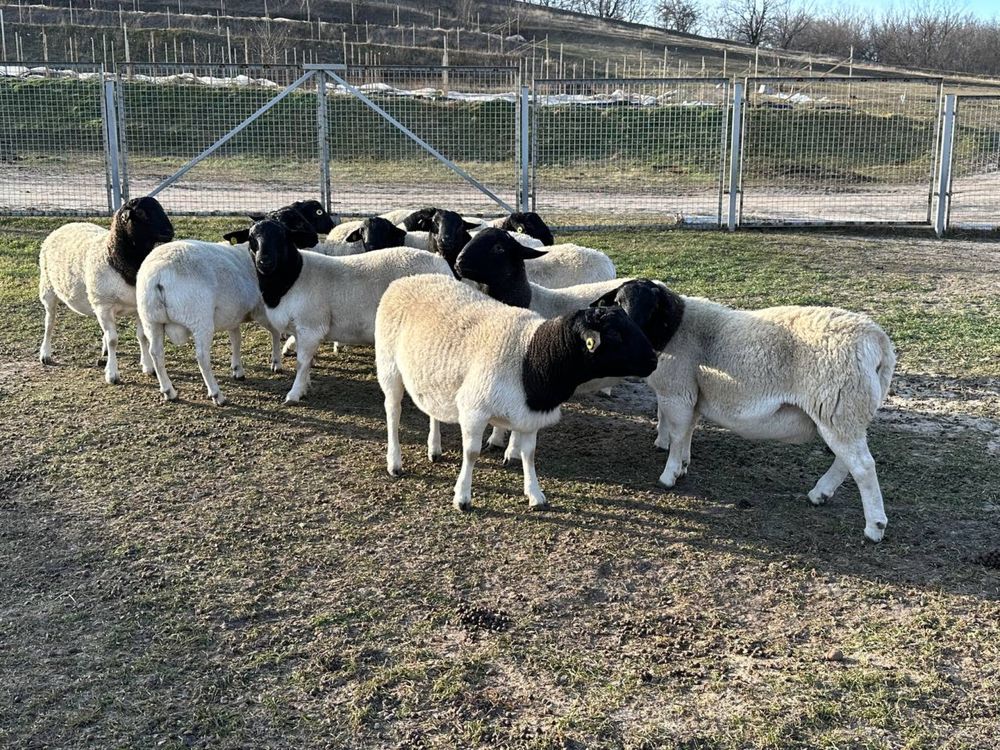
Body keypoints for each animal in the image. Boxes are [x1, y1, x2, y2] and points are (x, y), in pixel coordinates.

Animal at [38, 197, 176, 384]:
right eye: (140, 212)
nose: (170, 232)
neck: (115, 257)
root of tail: (66, 225)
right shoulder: (104, 306)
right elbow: (113, 340)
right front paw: (112, 374)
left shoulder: (136, 306)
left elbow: (141, 336)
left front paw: (148, 366)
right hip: (48, 288)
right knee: (49, 321)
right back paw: (45, 353)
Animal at [136, 204, 316, 406]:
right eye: (252, 238)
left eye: (282, 236)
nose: (264, 262)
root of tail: (158, 277)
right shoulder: (263, 309)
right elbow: (275, 333)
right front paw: (277, 363)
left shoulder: (233, 313)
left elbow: (236, 338)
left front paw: (238, 369)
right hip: (200, 319)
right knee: (202, 357)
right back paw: (216, 394)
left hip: (151, 319)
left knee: (156, 353)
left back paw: (169, 391)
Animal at [248, 219, 452, 406]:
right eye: (252, 239)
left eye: (282, 237)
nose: (264, 262)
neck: (293, 277)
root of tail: (441, 264)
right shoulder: (299, 328)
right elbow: (304, 362)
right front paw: (304, 386)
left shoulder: (311, 327)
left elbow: (302, 362)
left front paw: (294, 393)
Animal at [374, 274, 656, 516]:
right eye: (616, 334)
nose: (653, 361)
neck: (532, 355)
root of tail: (405, 280)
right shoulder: (475, 410)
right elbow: (471, 453)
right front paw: (462, 497)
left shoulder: (529, 416)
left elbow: (528, 454)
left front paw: (535, 494)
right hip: (389, 367)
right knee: (393, 412)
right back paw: (394, 462)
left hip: (434, 375)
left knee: (432, 409)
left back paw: (434, 449)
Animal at [592, 282, 900, 548]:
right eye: (617, 303)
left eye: (647, 306)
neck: (675, 329)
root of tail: (878, 340)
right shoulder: (693, 395)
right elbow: (688, 431)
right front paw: (683, 465)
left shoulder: (677, 393)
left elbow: (678, 435)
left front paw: (669, 476)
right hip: (845, 413)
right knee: (845, 461)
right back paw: (819, 494)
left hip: (838, 407)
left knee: (863, 466)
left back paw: (874, 527)